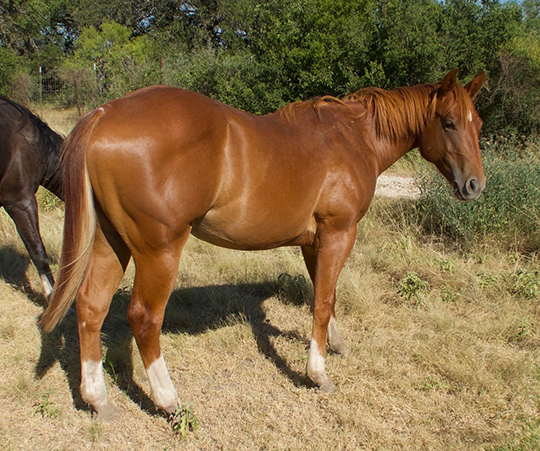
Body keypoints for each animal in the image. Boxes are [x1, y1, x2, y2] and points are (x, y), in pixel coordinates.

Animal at [39, 69, 486, 420]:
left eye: (477, 122)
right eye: (448, 122)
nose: (475, 185)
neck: (352, 137)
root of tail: (104, 114)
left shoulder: (314, 241)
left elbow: (323, 295)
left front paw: (335, 345)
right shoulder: (339, 232)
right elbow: (324, 299)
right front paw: (317, 373)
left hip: (111, 242)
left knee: (91, 305)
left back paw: (98, 399)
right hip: (159, 250)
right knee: (144, 317)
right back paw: (169, 401)